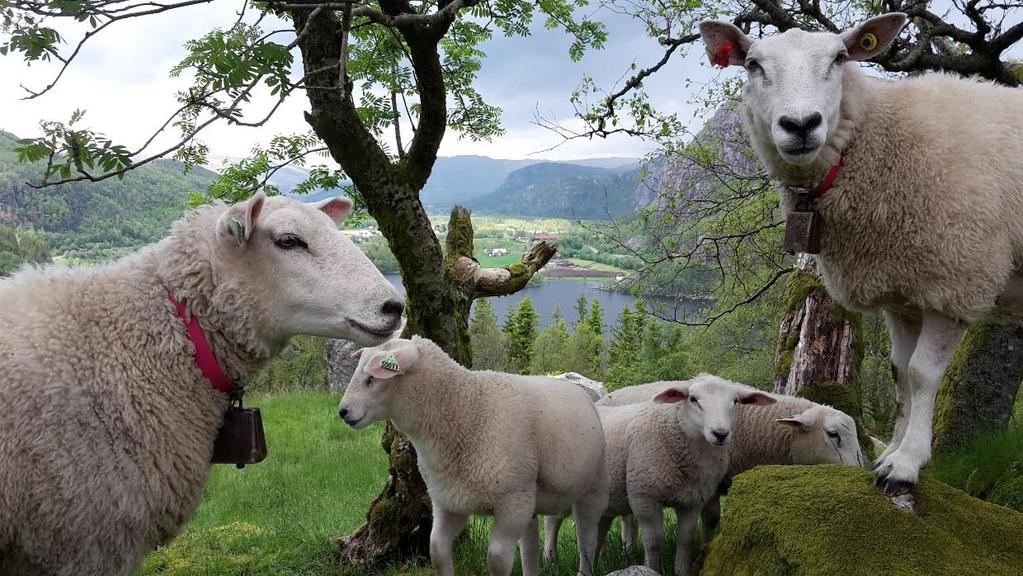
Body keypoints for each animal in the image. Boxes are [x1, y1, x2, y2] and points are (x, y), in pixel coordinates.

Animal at [337, 335, 605, 576]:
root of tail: (575, 388)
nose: (342, 411)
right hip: (530, 497)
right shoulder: (448, 502)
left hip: (589, 489)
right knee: (530, 548)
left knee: (587, 540)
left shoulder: (510, 506)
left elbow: (496, 561)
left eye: (372, 378)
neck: (467, 410)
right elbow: (437, 552)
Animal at [699, 11, 1023, 493]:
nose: (801, 124)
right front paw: (891, 450)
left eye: (840, 58)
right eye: (754, 64)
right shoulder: (904, 292)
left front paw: (906, 462)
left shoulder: (955, 279)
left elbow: (923, 375)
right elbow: (900, 373)